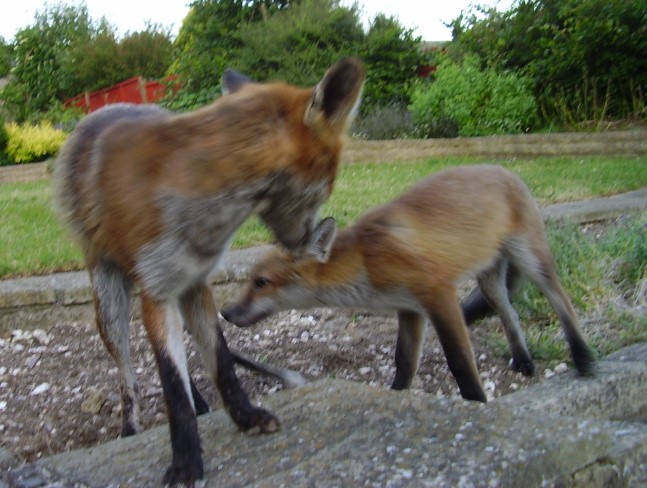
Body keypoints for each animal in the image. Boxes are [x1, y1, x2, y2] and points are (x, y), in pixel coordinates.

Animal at [53, 57, 368, 484]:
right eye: (327, 184)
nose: (309, 239)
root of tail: (102, 111)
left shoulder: (197, 285)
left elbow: (220, 364)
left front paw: (246, 418)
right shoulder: (158, 290)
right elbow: (172, 387)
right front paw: (186, 462)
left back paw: (201, 403)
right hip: (109, 306)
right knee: (128, 375)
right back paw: (130, 428)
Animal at [224, 166, 596, 402]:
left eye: (261, 282)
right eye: (250, 281)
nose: (226, 312)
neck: (367, 262)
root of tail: (505, 170)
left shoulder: (438, 296)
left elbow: (461, 365)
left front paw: (476, 404)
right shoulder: (409, 308)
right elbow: (404, 363)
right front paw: (397, 400)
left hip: (532, 259)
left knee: (563, 302)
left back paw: (584, 358)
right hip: (490, 281)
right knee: (510, 315)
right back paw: (523, 360)